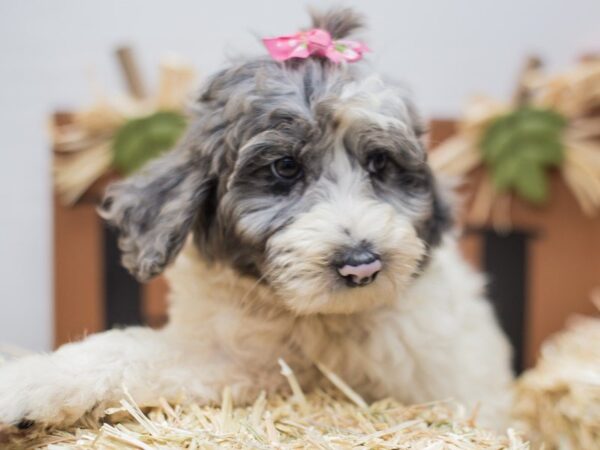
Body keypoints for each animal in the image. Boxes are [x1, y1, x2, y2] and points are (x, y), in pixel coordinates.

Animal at [0, 6, 510, 428]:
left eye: (380, 164)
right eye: (285, 168)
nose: (362, 265)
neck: (318, 321)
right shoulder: (235, 359)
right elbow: (125, 349)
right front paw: (28, 384)